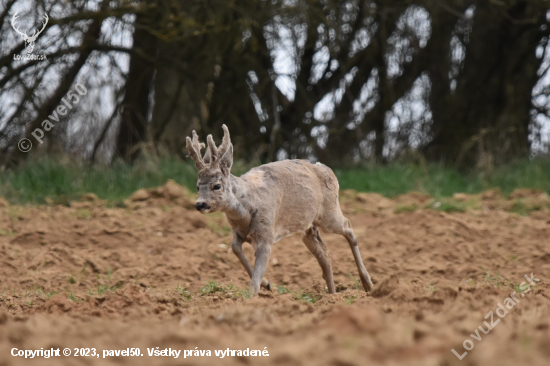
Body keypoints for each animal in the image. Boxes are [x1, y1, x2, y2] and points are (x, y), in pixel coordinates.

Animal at [189, 124, 376, 296]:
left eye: (217, 186)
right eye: (197, 186)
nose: (200, 204)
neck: (246, 209)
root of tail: (328, 169)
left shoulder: (267, 234)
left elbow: (254, 281)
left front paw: (251, 299)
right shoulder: (238, 232)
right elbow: (235, 249)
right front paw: (267, 284)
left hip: (329, 212)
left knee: (348, 226)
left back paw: (367, 284)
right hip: (307, 227)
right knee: (324, 253)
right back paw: (332, 296)